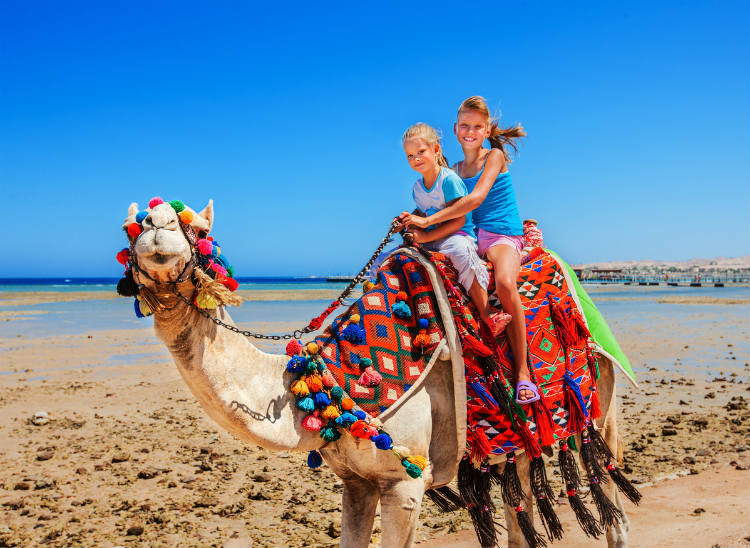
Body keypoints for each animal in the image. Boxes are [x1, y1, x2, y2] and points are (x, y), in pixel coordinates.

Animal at [123, 200, 636, 548]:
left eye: (199, 227)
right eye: (134, 225)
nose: (157, 226)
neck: (327, 380)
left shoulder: (405, 483)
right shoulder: (356, 483)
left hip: (600, 400)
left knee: (610, 484)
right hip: (517, 440)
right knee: (520, 496)